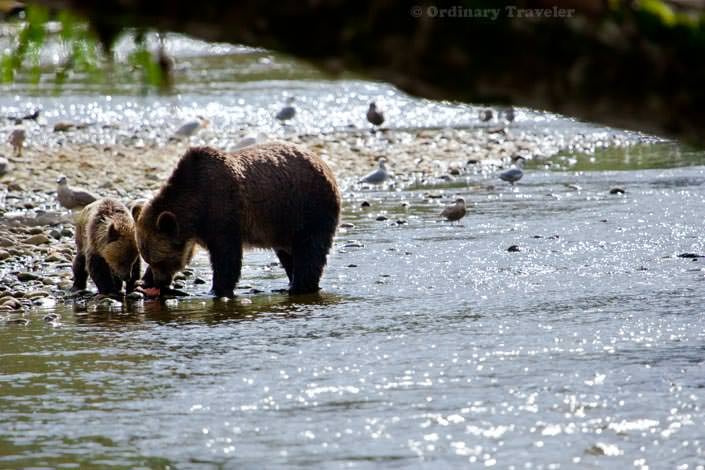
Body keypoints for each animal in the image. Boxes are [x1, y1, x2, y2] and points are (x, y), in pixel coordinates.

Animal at [135, 142, 340, 298]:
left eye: (161, 260)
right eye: (148, 259)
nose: (160, 282)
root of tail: (324, 165)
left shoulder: (223, 211)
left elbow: (226, 256)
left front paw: (217, 290)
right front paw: (144, 280)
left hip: (308, 207)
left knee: (310, 250)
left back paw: (300, 286)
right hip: (283, 223)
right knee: (288, 253)